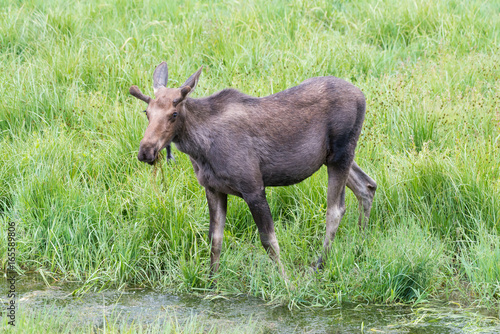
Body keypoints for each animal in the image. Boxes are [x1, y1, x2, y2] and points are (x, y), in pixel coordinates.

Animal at [129, 62, 376, 276]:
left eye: (173, 114)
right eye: (146, 112)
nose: (146, 151)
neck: (199, 148)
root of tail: (362, 96)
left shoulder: (253, 187)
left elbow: (269, 241)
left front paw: (286, 283)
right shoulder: (213, 189)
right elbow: (215, 239)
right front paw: (211, 282)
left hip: (341, 154)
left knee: (335, 209)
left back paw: (320, 264)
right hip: (333, 157)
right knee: (367, 185)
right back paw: (360, 244)